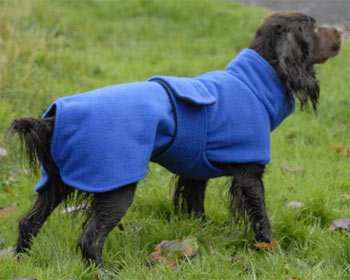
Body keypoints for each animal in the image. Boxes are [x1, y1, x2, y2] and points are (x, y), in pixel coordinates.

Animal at [10, 11, 342, 264]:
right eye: (312, 27)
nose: (340, 32)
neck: (252, 84)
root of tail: (52, 118)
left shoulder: (196, 173)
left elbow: (196, 209)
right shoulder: (249, 174)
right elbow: (261, 217)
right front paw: (271, 249)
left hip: (59, 181)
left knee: (28, 222)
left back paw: (20, 259)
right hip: (116, 185)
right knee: (89, 239)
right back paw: (103, 270)